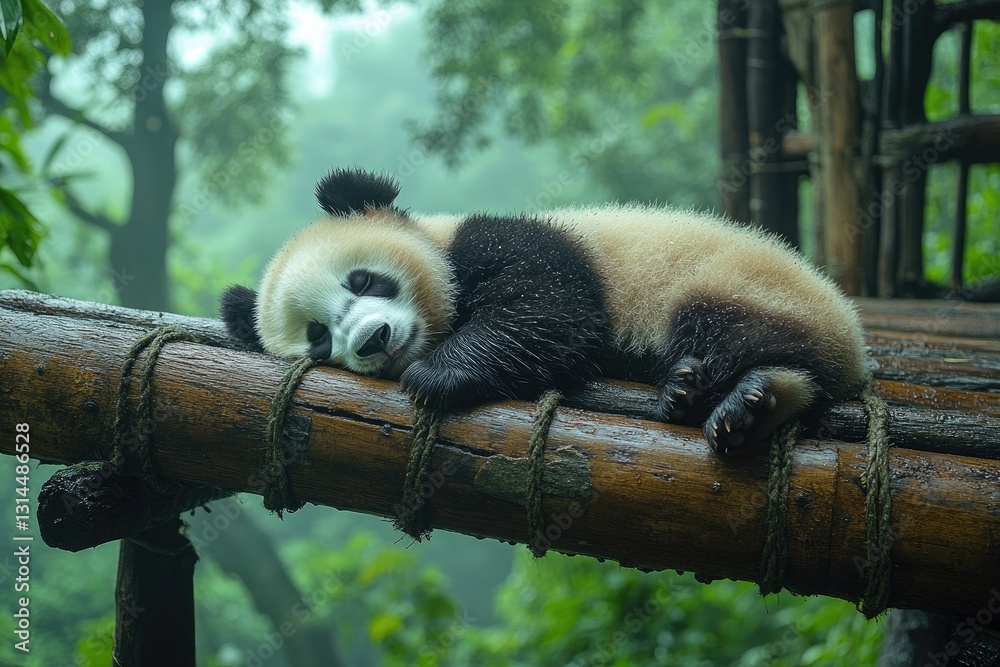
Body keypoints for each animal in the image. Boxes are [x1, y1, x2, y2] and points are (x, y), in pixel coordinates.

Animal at [221, 167, 867, 456]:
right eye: (318, 338)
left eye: (363, 279)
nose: (374, 339)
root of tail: (855, 338)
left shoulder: (512, 243)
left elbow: (547, 308)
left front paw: (436, 374)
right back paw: (700, 396)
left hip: (746, 283)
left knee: (733, 327)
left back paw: (748, 397)